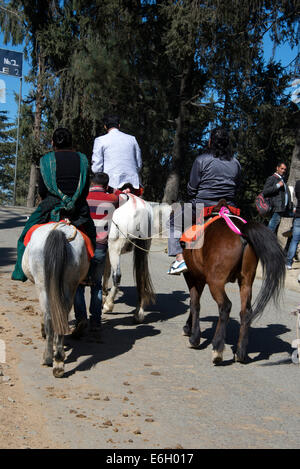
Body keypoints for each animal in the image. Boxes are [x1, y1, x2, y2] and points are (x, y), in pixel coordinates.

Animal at [22, 221, 89, 378]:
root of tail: (60, 231)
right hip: (69, 285)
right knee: (61, 314)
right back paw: (58, 361)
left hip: (42, 285)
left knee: (48, 316)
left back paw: (48, 357)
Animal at [102, 194, 155, 322]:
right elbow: (105, 272)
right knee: (141, 277)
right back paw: (139, 312)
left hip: (115, 248)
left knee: (117, 276)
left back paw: (108, 305)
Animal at [180, 209, 286, 366]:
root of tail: (241, 231)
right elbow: (194, 303)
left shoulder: (192, 276)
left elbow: (194, 304)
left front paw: (193, 337)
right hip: (246, 282)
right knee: (246, 312)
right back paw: (240, 353)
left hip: (215, 282)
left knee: (225, 306)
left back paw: (217, 349)